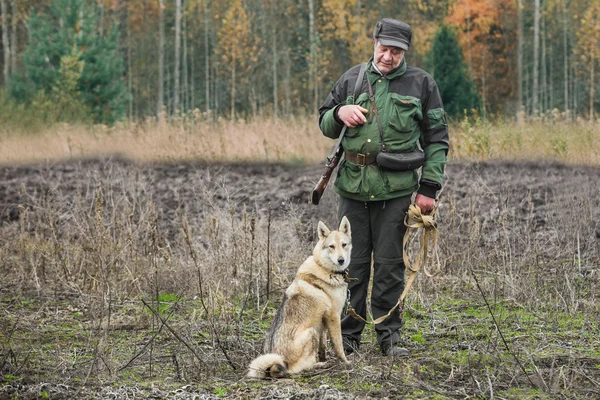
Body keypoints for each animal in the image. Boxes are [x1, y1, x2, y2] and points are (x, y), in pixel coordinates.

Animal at [247, 217, 354, 376]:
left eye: (344, 245)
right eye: (331, 246)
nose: (341, 260)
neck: (324, 268)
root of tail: (275, 367)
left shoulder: (322, 322)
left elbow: (323, 347)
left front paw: (324, 358)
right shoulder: (333, 317)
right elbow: (338, 345)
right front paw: (345, 362)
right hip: (311, 332)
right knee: (301, 368)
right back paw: (318, 365)